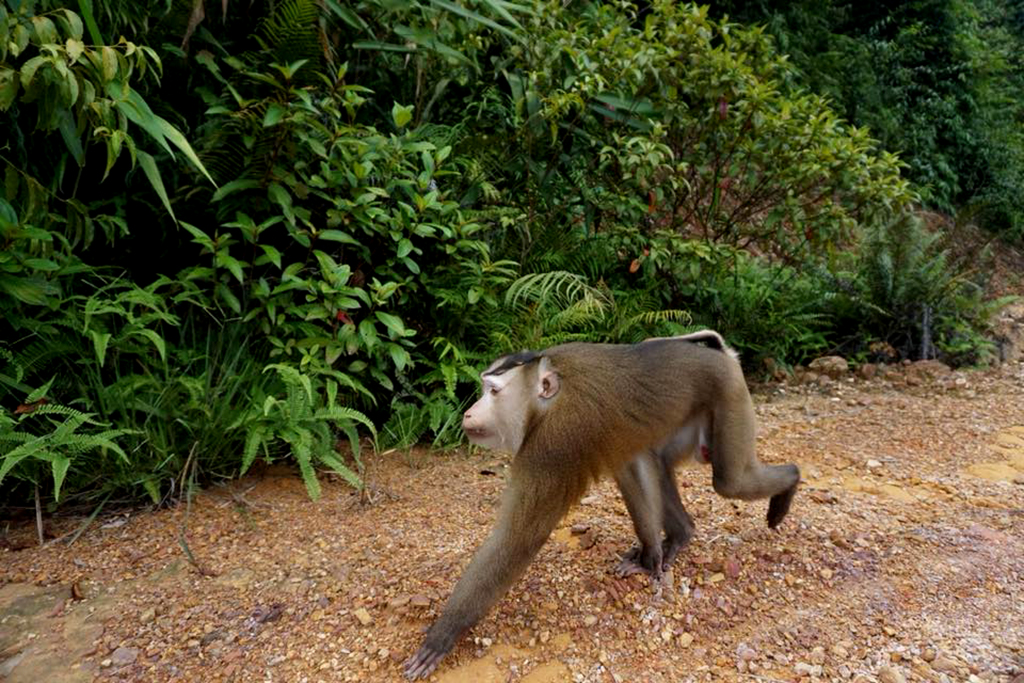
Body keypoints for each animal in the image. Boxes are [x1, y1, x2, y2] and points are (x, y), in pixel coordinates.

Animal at [404, 332, 799, 679]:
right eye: (484, 388)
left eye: (494, 392)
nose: (470, 413)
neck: (546, 401)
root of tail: (720, 354)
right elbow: (632, 462)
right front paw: (650, 555)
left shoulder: (555, 444)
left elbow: (519, 538)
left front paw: (442, 635)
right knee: (657, 460)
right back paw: (679, 537)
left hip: (729, 393)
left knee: (731, 482)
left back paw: (790, 483)